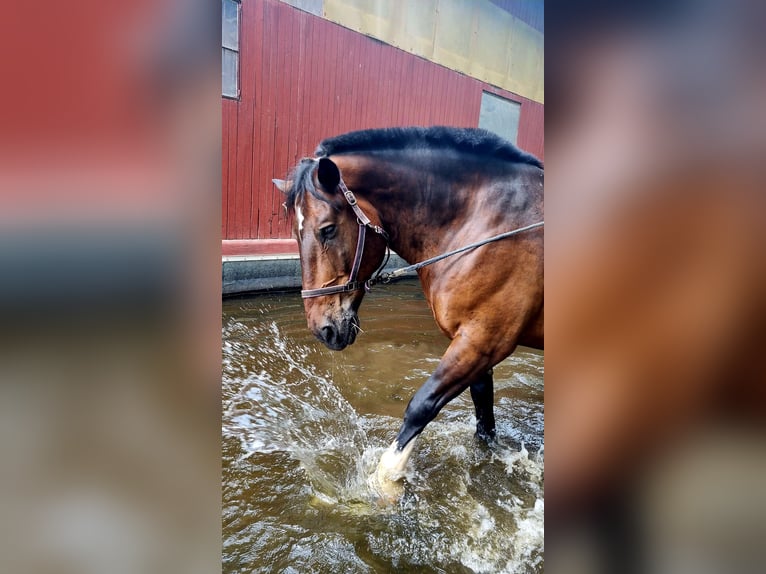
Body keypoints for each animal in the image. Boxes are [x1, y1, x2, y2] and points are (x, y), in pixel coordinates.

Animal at [276, 126, 544, 490]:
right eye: (295, 232)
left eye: (327, 229)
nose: (322, 329)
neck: (484, 223)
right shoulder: (477, 345)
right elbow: (483, 415)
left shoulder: (484, 340)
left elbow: (421, 406)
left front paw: (383, 484)